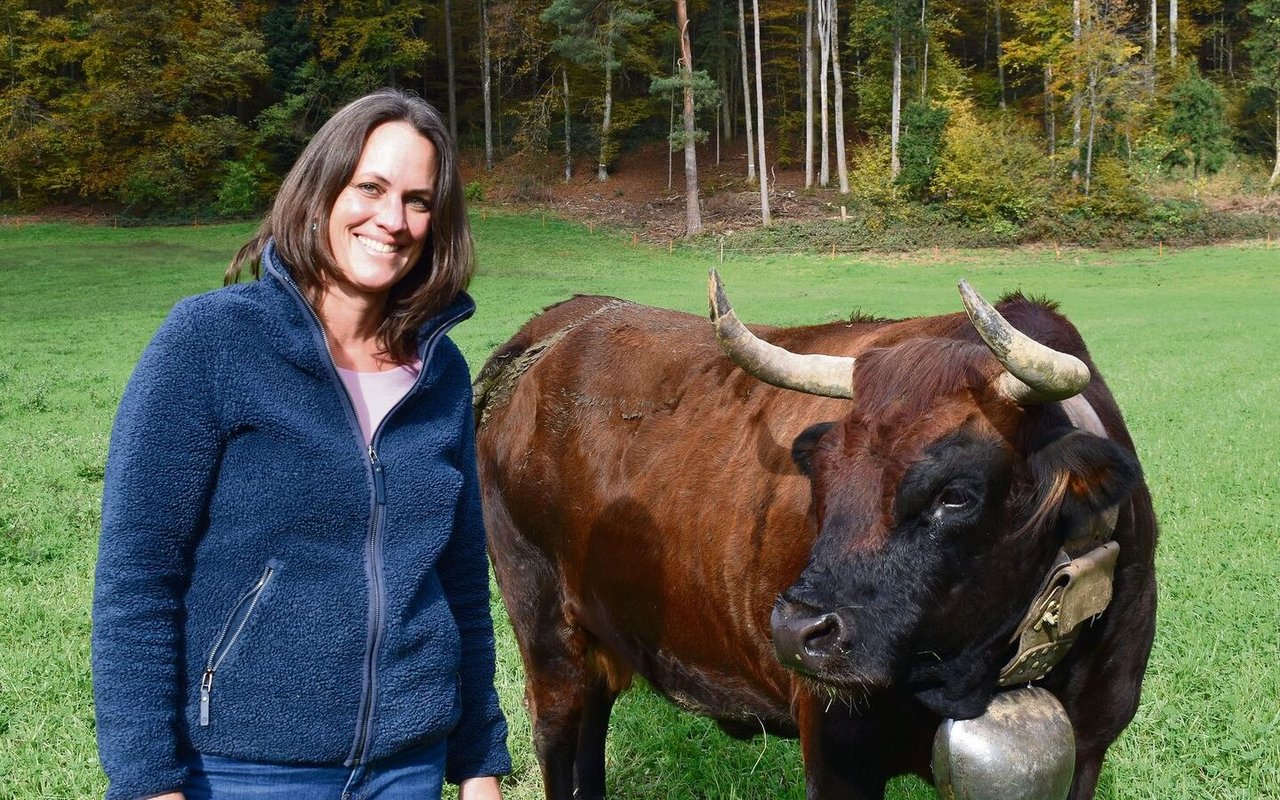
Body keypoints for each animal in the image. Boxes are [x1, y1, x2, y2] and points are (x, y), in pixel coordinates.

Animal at [473, 272, 1162, 798]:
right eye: (821, 472)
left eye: (956, 494)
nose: (796, 630)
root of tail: (554, 329)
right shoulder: (836, 750)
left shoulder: (1091, 744)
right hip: (544, 626)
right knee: (557, 737)